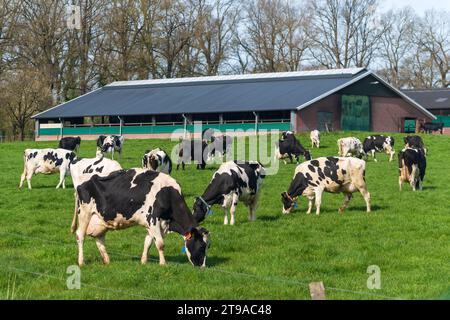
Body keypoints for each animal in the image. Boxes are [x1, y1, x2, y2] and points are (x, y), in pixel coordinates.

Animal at [73, 170, 210, 268]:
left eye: (208, 247)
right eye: (201, 246)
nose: (202, 267)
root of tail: (82, 183)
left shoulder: (153, 224)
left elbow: (148, 242)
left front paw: (143, 261)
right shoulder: (153, 219)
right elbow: (160, 244)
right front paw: (163, 264)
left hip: (100, 220)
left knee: (99, 239)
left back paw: (107, 260)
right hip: (84, 213)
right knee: (80, 236)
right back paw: (81, 262)